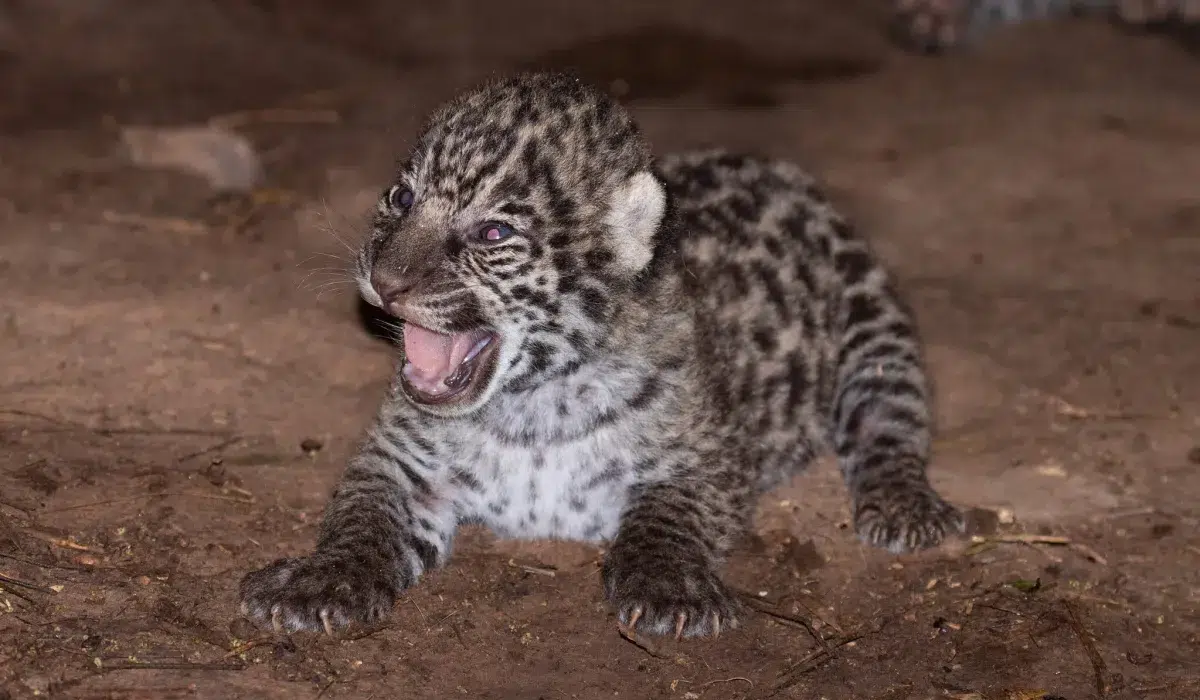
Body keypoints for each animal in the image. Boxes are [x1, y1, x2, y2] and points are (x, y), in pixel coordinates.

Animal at [238, 71, 965, 639]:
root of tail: (772, 168)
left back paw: (904, 509)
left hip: (875, 320)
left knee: (890, 419)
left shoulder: (705, 460)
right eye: (401, 197)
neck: (532, 410)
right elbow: (359, 519)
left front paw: (669, 589)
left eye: (493, 234)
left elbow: (669, 517)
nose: (384, 281)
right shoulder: (397, 466)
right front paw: (318, 581)